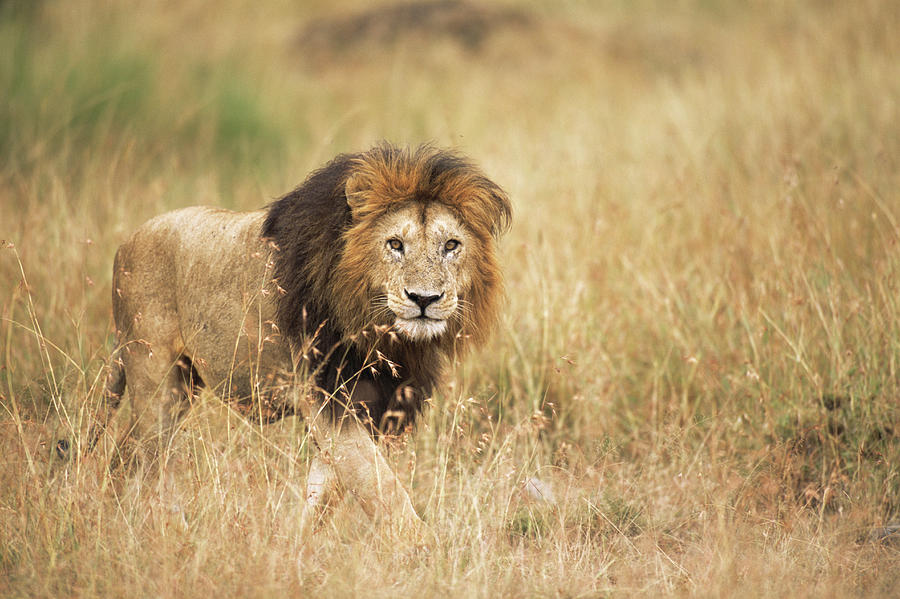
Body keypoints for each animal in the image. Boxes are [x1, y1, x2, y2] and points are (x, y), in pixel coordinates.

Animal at [99, 143, 512, 532]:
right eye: (395, 244)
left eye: (451, 245)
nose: (424, 299)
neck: (384, 335)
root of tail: (126, 243)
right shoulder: (327, 397)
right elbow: (382, 488)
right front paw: (422, 549)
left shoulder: (370, 403)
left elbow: (326, 490)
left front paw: (293, 543)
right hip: (156, 380)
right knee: (151, 461)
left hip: (183, 384)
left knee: (130, 453)